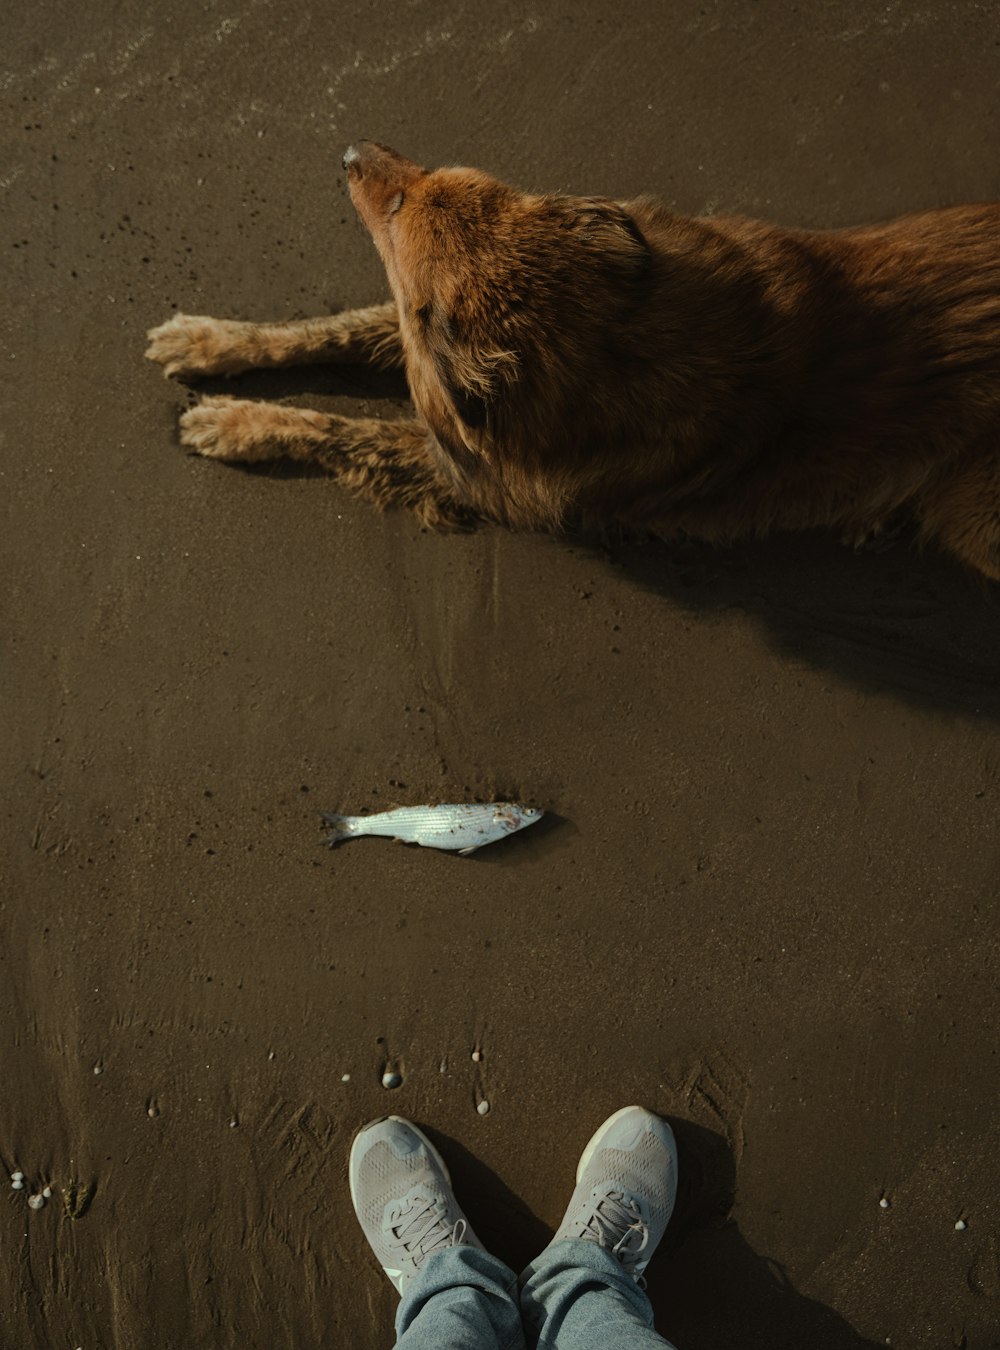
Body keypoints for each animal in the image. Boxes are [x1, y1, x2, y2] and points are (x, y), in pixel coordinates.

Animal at [144, 142, 998, 575]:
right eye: (426, 177)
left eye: (397, 206)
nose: (352, 148)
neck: (615, 338)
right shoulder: (429, 359)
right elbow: (328, 330)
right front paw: (210, 342)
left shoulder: (474, 472)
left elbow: (336, 429)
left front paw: (232, 422)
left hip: (976, 518)